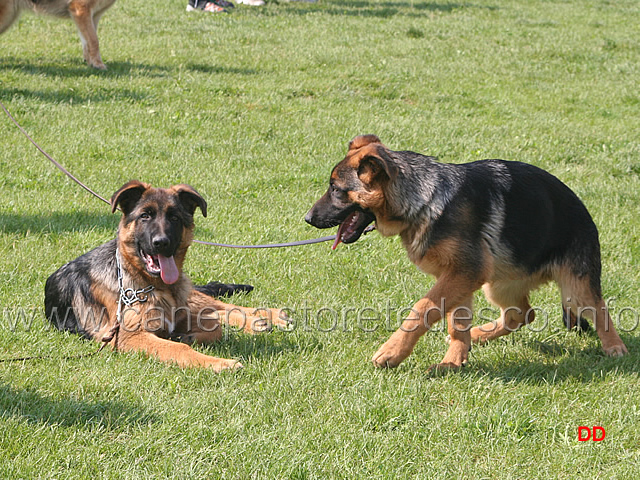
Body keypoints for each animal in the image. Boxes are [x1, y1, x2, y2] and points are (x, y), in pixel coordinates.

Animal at [46, 180, 292, 372]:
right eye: (145, 216)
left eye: (174, 218)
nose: (161, 243)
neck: (151, 285)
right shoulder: (128, 336)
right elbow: (182, 345)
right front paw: (219, 362)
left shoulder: (178, 315)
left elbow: (214, 327)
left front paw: (192, 338)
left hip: (189, 294)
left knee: (223, 307)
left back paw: (272, 316)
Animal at [304, 135, 624, 372]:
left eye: (336, 189)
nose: (307, 218)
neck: (425, 200)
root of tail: (580, 206)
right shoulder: (459, 278)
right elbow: (455, 321)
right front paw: (453, 361)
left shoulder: (463, 273)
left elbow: (423, 308)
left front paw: (392, 351)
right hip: (498, 285)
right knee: (522, 314)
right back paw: (481, 334)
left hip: (573, 289)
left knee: (599, 308)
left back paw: (614, 347)